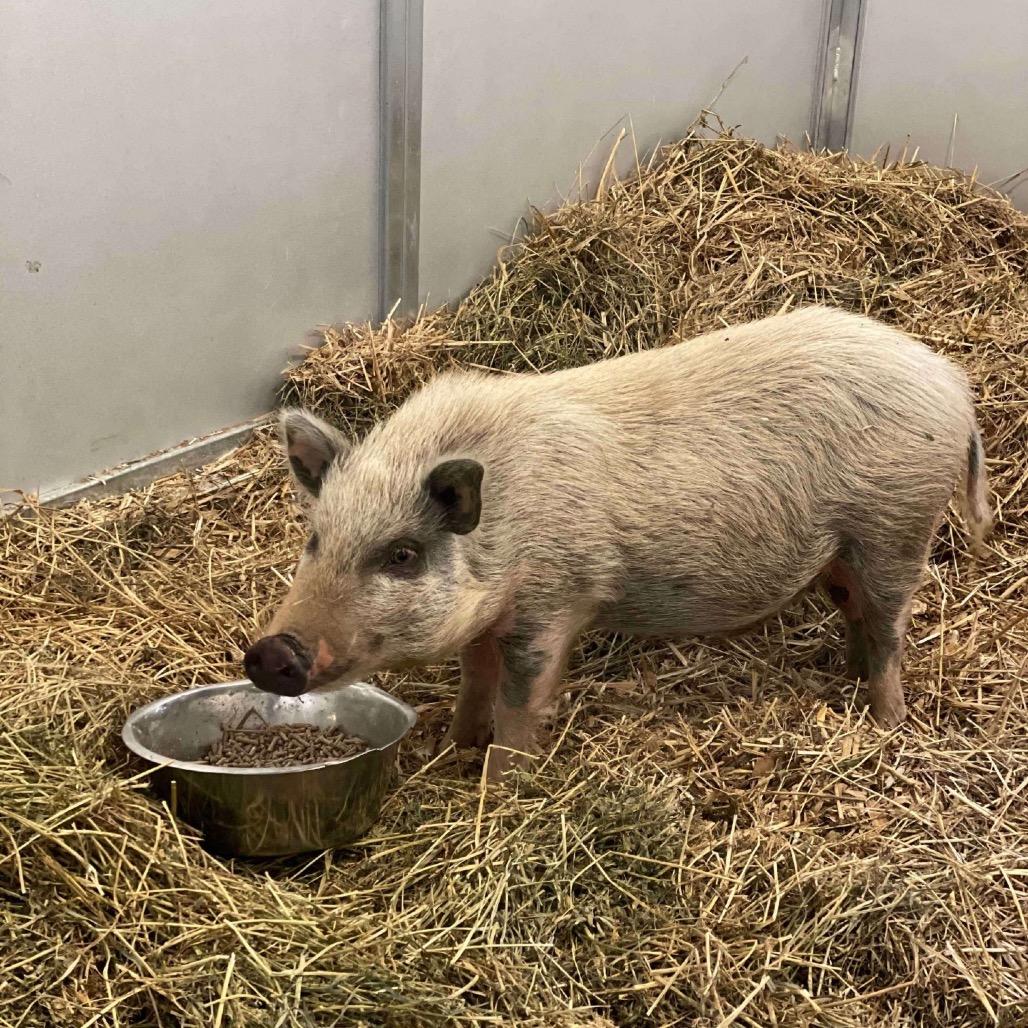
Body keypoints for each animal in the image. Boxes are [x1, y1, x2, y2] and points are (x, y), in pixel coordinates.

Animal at [244, 305, 992, 780]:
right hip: (847, 551)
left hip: (899, 525)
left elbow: (519, 700)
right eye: (315, 539)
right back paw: (849, 680)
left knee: (891, 629)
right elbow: (473, 681)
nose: (270, 653)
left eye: (401, 555)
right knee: (857, 615)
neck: (505, 523)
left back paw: (887, 723)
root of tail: (953, 382)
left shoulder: (553, 601)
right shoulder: (491, 617)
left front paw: (499, 786)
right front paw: (453, 747)